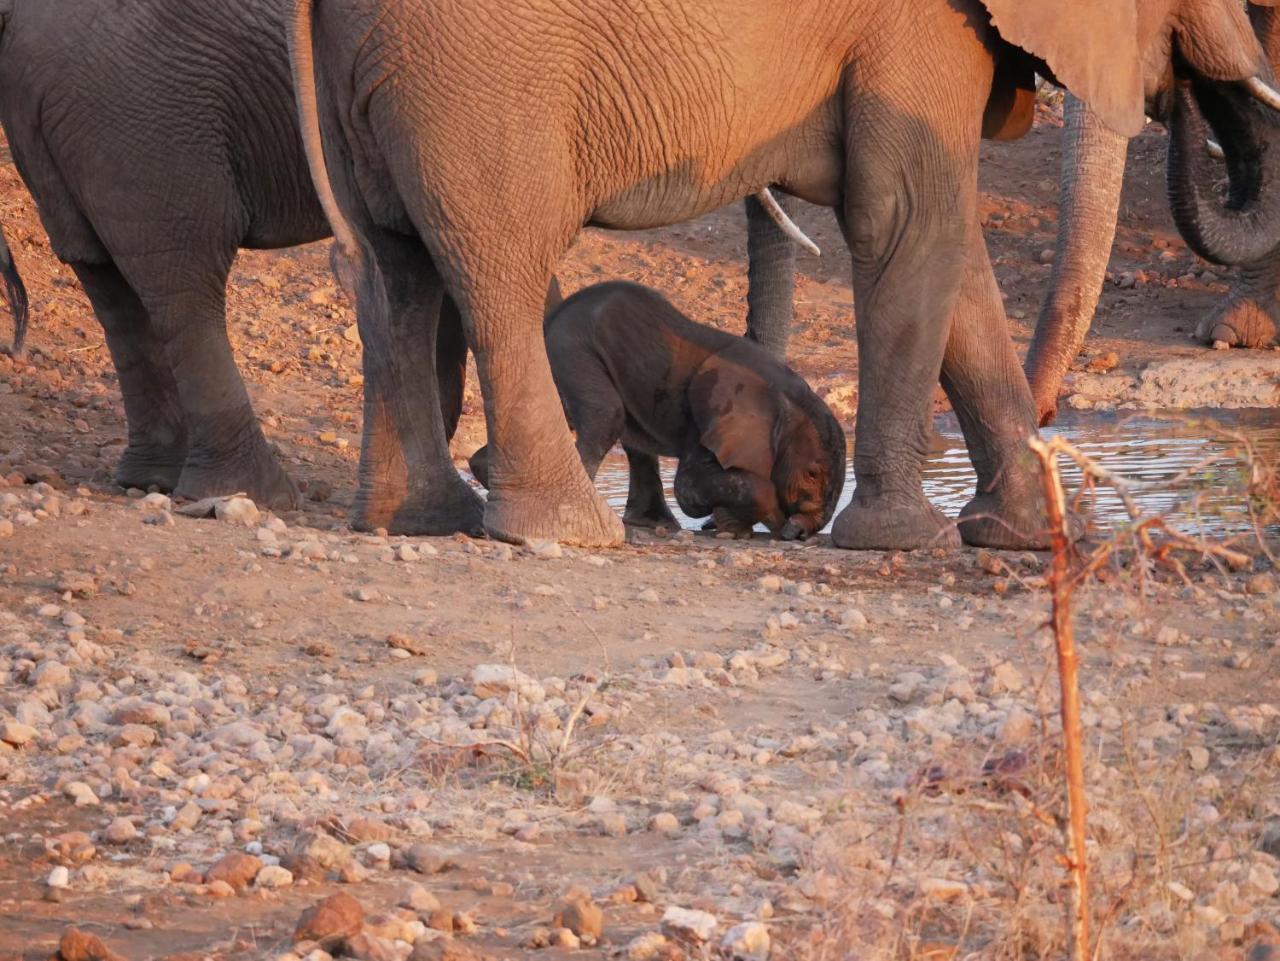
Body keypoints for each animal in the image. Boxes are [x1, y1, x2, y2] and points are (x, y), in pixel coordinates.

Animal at [465, 281, 844, 545]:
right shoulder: (708, 421)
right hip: (573, 351)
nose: (798, 534)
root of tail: (550, 320)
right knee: (606, 418)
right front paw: (756, 523)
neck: (783, 389)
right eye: (812, 474)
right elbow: (689, 488)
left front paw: (730, 525)